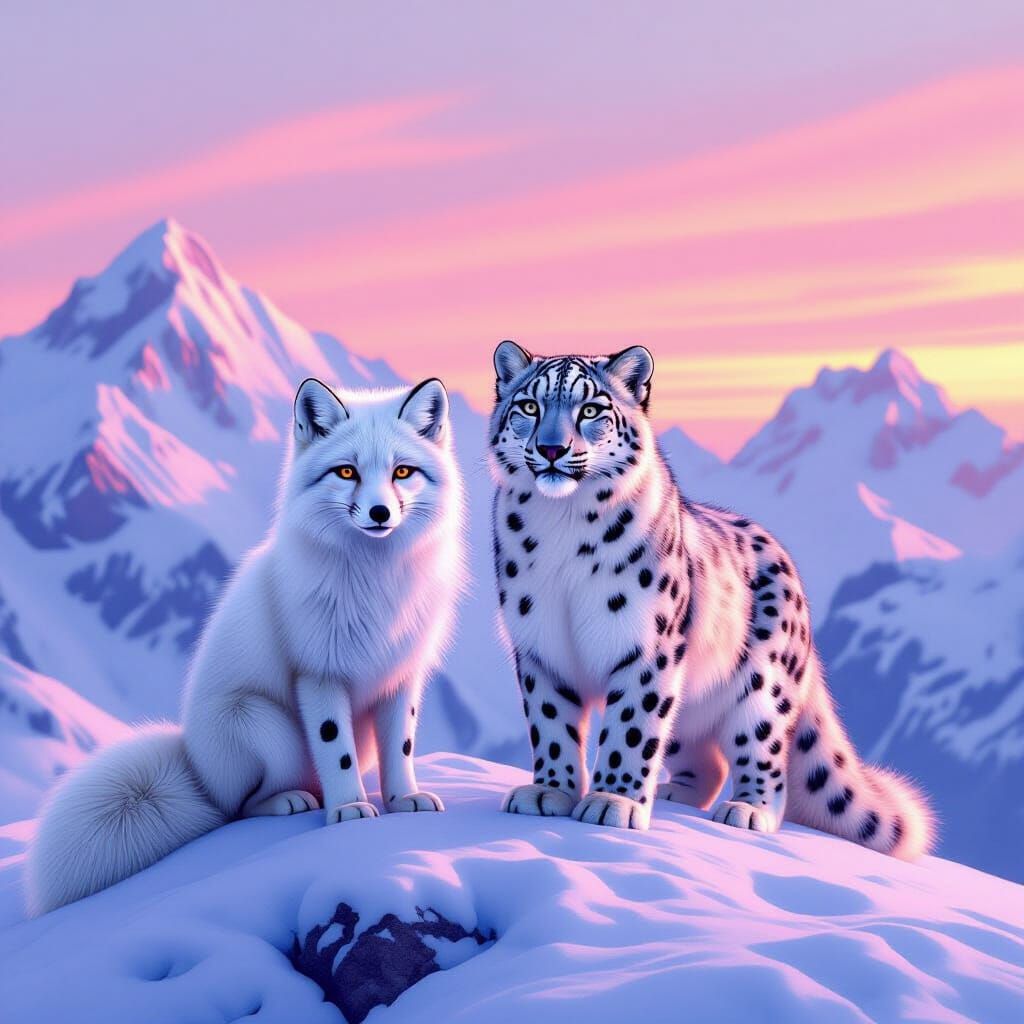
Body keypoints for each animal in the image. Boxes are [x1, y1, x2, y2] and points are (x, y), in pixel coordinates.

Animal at [26, 376, 466, 915]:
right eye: (347, 471)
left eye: (403, 471)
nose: (381, 513)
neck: (377, 582)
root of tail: (195, 769)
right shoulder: (317, 673)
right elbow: (336, 750)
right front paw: (348, 808)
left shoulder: (401, 673)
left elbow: (401, 747)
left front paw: (404, 800)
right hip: (265, 726)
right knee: (237, 810)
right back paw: (290, 802)